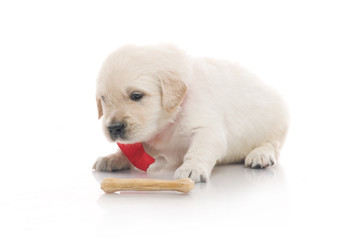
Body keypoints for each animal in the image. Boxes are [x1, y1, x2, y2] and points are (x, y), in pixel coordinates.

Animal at [92, 44, 288, 182]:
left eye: (136, 96)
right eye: (103, 99)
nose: (113, 128)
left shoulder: (207, 129)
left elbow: (199, 149)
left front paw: (192, 168)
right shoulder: (151, 137)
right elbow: (134, 150)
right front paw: (113, 158)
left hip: (275, 122)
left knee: (272, 144)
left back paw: (260, 155)